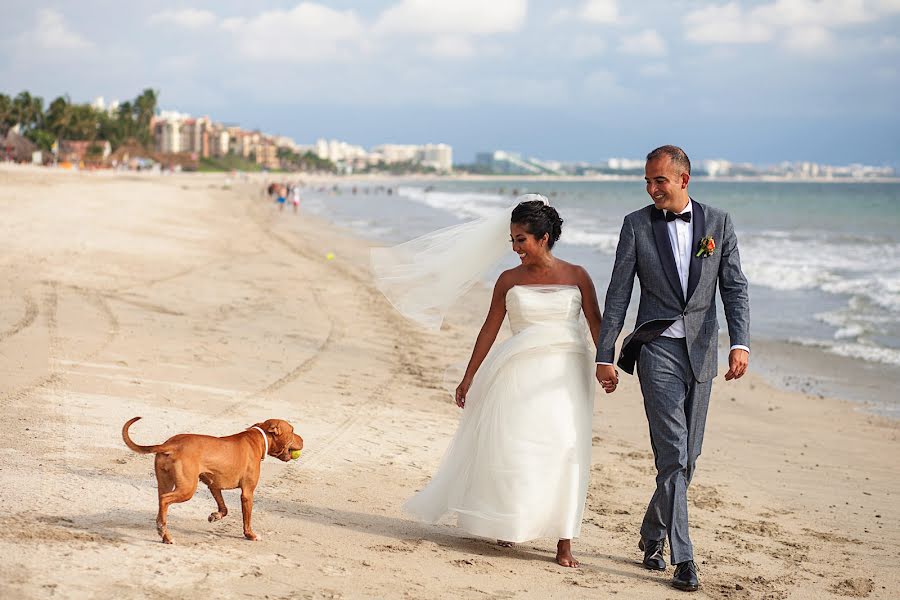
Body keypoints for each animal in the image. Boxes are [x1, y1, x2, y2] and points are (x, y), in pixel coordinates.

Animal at [121, 418, 304, 544]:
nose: (303, 439)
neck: (259, 438)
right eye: (292, 430)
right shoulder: (247, 493)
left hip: (165, 483)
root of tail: (171, 444)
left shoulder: (214, 486)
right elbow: (247, 519)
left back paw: (164, 533)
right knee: (165, 500)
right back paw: (164, 532)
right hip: (187, 489)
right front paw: (250, 535)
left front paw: (215, 516)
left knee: (161, 502)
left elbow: (224, 508)